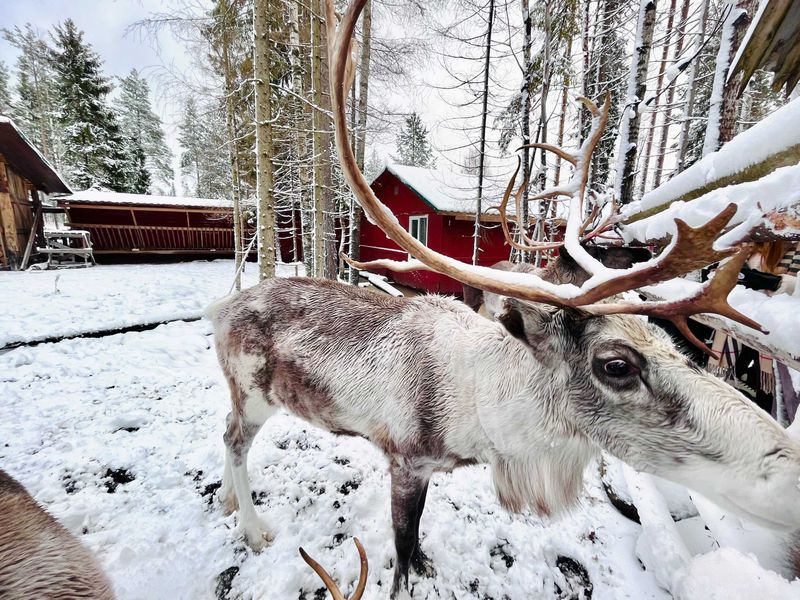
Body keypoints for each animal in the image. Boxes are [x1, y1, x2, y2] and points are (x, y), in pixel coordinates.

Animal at [206, 2, 800, 597]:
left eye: (671, 342)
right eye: (616, 365)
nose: (792, 473)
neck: (481, 418)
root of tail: (220, 309)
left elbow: (417, 542)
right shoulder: (405, 459)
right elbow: (401, 547)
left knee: (227, 431)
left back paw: (231, 502)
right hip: (253, 390)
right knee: (234, 438)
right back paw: (253, 527)